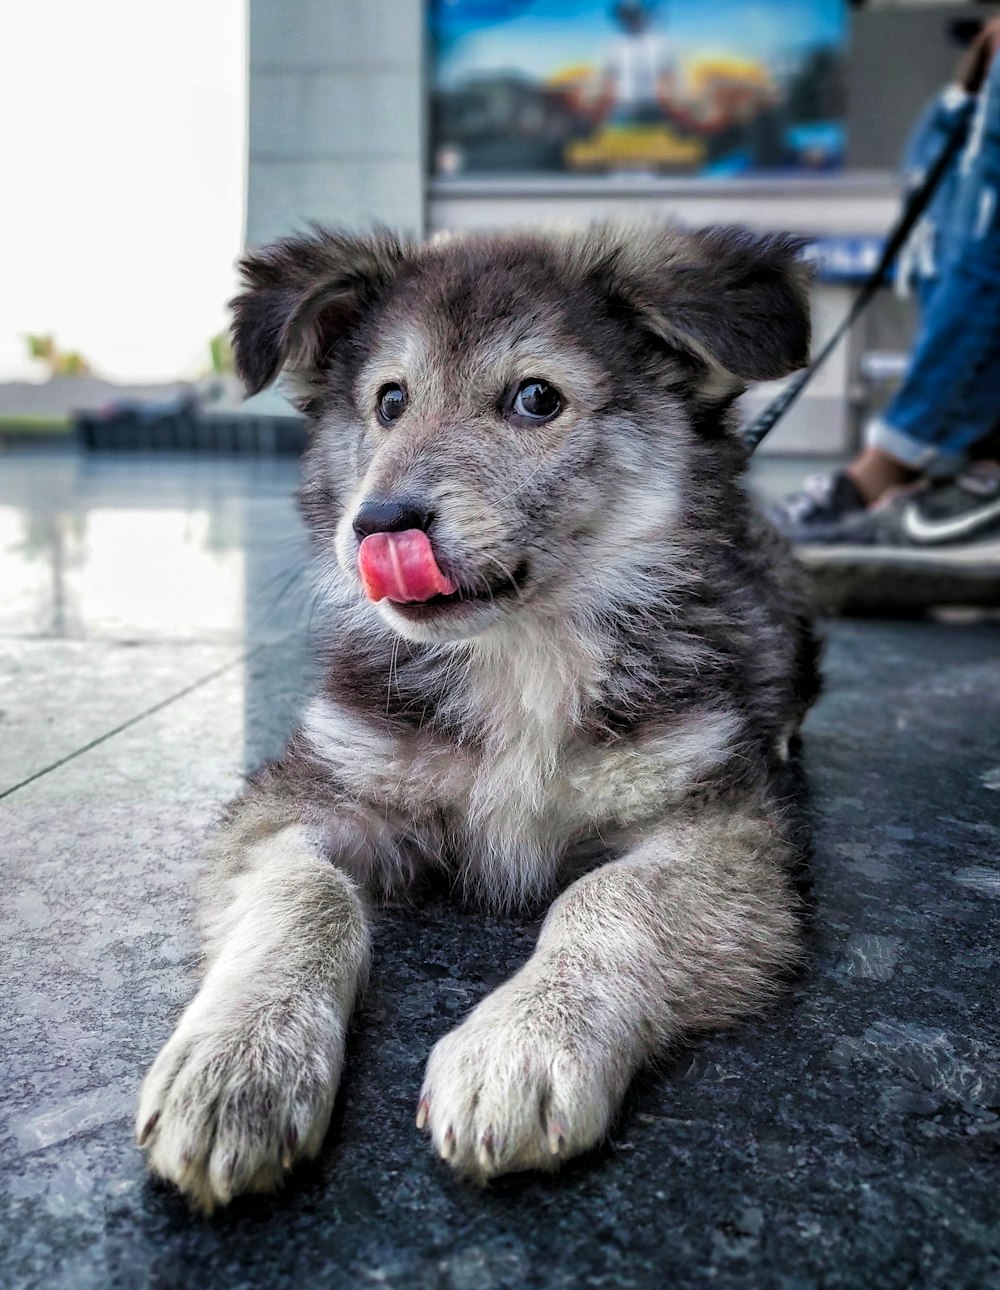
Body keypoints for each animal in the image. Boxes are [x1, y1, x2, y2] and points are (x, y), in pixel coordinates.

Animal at [134, 221, 820, 1207]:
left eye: (536, 398)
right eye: (389, 401)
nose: (378, 525)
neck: (519, 653)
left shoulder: (717, 824)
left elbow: (610, 897)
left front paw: (523, 1046)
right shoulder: (313, 787)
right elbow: (307, 893)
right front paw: (238, 1062)